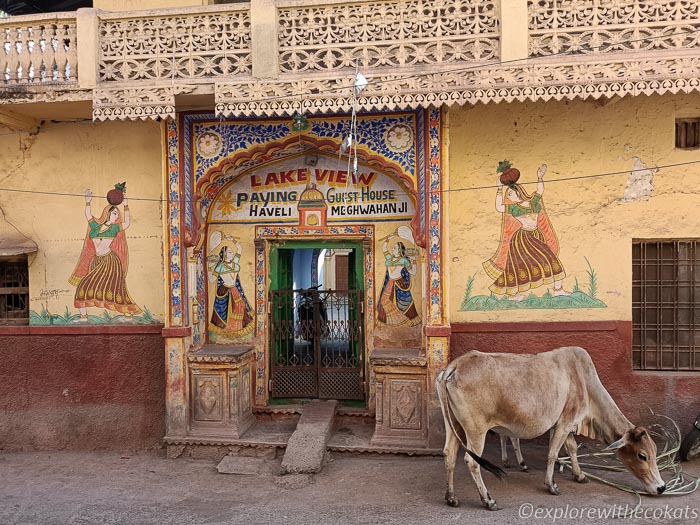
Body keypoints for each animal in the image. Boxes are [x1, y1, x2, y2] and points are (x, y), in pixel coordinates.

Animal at [438, 346, 668, 510]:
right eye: (642, 455)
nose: (661, 487)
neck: (585, 383)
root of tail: (455, 365)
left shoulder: (565, 423)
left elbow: (572, 448)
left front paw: (579, 475)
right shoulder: (565, 421)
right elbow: (552, 453)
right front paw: (551, 485)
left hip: (454, 425)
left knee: (449, 455)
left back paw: (451, 497)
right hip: (476, 430)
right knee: (471, 461)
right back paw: (488, 500)